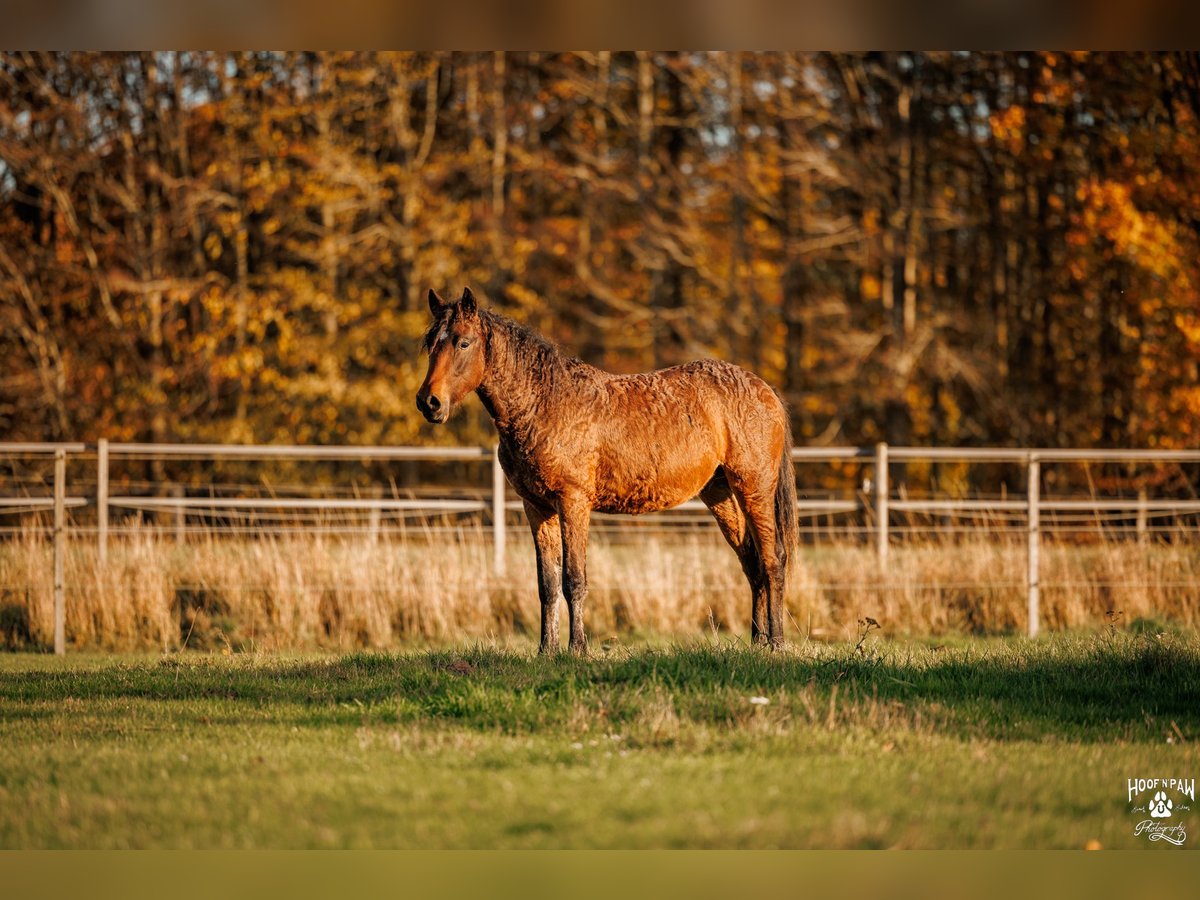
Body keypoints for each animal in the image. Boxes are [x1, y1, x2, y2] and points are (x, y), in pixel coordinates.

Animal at [417, 287, 797, 655]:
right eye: (430, 342)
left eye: (463, 342)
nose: (428, 402)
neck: (543, 403)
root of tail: (765, 389)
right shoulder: (536, 508)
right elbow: (547, 584)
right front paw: (546, 650)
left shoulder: (573, 503)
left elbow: (574, 580)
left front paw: (577, 648)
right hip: (719, 493)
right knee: (751, 561)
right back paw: (757, 640)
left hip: (754, 488)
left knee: (772, 560)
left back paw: (776, 643)